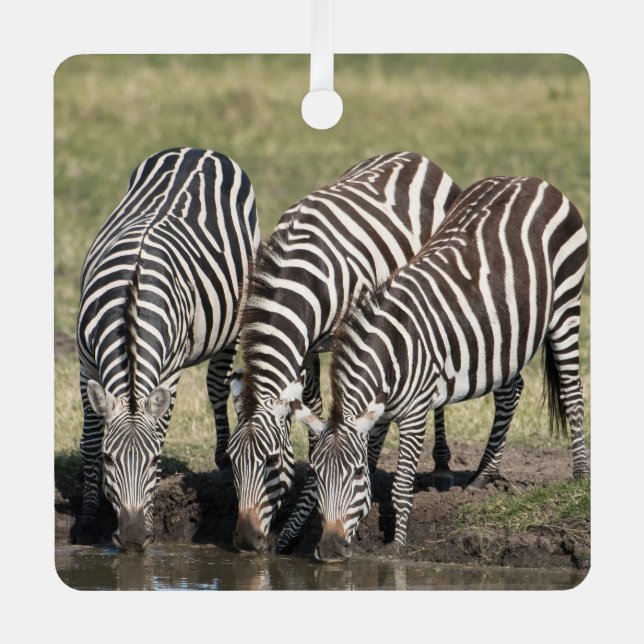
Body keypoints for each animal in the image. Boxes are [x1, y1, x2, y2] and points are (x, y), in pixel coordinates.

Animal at [77, 147, 260, 551]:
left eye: (154, 460)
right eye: (109, 460)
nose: (131, 539)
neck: (130, 307)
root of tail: (198, 149)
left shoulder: (170, 370)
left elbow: (160, 427)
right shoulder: (85, 363)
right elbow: (90, 436)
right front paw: (85, 516)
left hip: (235, 319)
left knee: (217, 384)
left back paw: (224, 456)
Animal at [226, 151, 462, 553]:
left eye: (271, 462)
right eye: (231, 460)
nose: (243, 541)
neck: (301, 277)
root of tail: (414, 156)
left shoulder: (348, 336)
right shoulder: (305, 350)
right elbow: (312, 411)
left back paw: (443, 465)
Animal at [292, 176, 590, 560]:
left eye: (354, 474)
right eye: (316, 474)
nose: (328, 550)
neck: (392, 350)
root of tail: (531, 180)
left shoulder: (415, 412)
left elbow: (401, 484)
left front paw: (396, 545)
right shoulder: (379, 413)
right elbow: (373, 459)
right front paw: (360, 529)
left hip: (567, 303)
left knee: (572, 391)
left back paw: (579, 474)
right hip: (503, 337)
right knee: (511, 391)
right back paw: (484, 476)